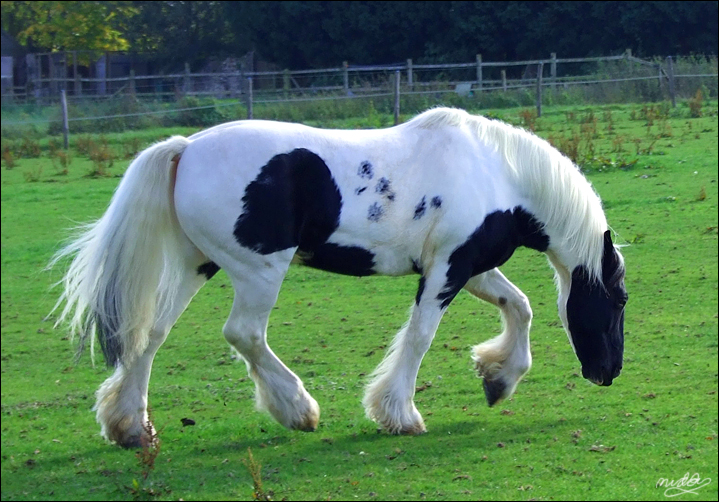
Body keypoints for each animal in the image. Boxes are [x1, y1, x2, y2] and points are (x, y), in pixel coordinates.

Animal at [50, 106, 628, 448]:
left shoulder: (468, 266)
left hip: (199, 265)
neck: (498, 172)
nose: (608, 374)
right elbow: (420, 336)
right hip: (259, 272)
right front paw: (398, 413)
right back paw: (297, 409)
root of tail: (185, 148)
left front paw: (497, 378)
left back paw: (130, 427)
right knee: (244, 334)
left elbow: (521, 306)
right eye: (619, 301)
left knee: (148, 335)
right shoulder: (447, 269)